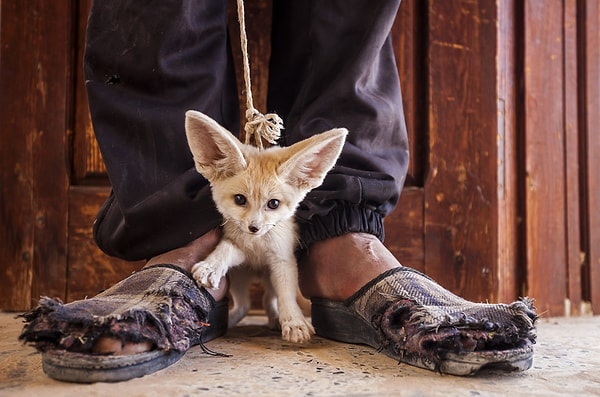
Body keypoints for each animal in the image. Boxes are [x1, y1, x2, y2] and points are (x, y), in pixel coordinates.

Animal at [186, 110, 346, 342]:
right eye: (240, 200)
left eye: (273, 204)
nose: (254, 228)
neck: (257, 247)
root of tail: (258, 274)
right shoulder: (240, 249)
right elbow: (226, 248)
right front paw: (212, 266)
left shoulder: (282, 260)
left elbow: (287, 296)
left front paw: (294, 321)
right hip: (240, 279)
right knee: (245, 305)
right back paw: (230, 321)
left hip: (269, 280)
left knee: (268, 301)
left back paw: (275, 319)